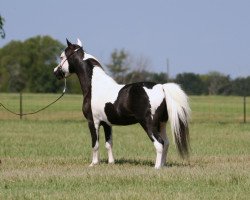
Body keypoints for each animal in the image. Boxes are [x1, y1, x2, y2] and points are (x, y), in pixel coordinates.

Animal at [53, 38, 190, 168]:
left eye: (62, 56)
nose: (55, 72)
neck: (95, 86)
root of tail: (161, 87)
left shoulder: (93, 122)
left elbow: (95, 144)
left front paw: (93, 163)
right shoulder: (107, 123)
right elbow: (108, 144)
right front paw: (111, 163)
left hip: (149, 124)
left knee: (159, 143)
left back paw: (157, 167)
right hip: (161, 123)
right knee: (166, 143)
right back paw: (163, 165)